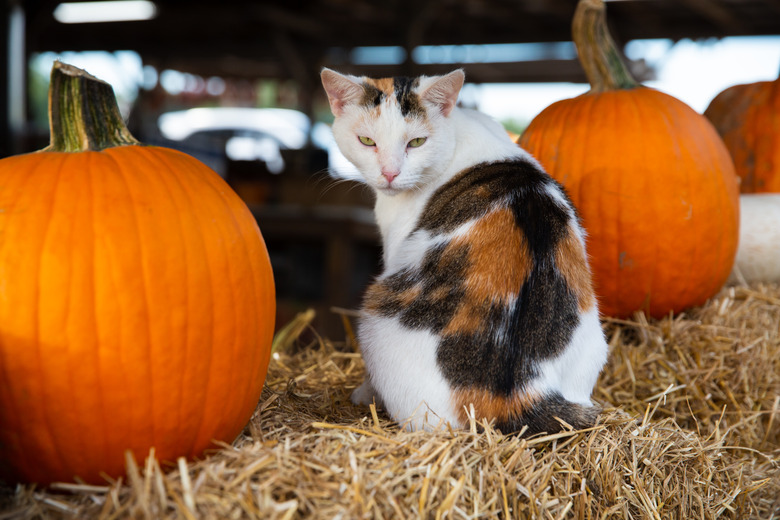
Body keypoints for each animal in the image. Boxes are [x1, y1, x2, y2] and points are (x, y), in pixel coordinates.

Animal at [318, 69, 608, 434]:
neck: (458, 131)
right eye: (367, 141)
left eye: (416, 143)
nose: (390, 173)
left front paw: (363, 392)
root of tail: (522, 392)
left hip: (373, 320)